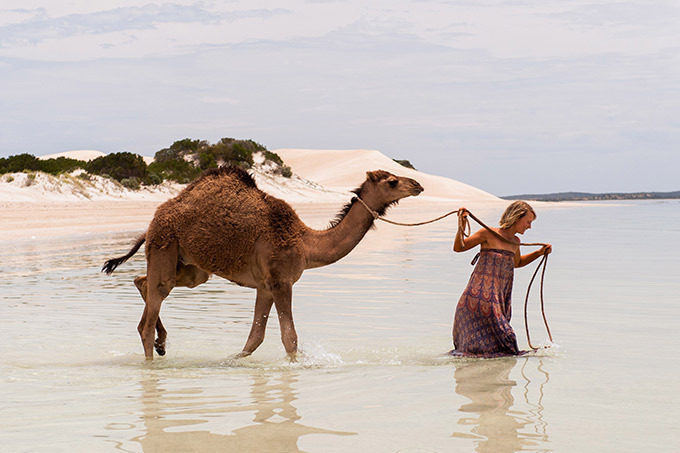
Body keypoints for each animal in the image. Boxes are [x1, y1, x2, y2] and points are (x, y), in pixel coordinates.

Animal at [103, 164, 422, 358]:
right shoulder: (281, 281)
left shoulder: (265, 286)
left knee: (145, 282)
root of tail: (152, 222)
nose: (418, 184)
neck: (307, 243)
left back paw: (161, 343)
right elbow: (289, 337)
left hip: (192, 268)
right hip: (164, 244)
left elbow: (254, 338)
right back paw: (152, 359)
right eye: (393, 181)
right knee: (155, 298)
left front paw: (231, 360)